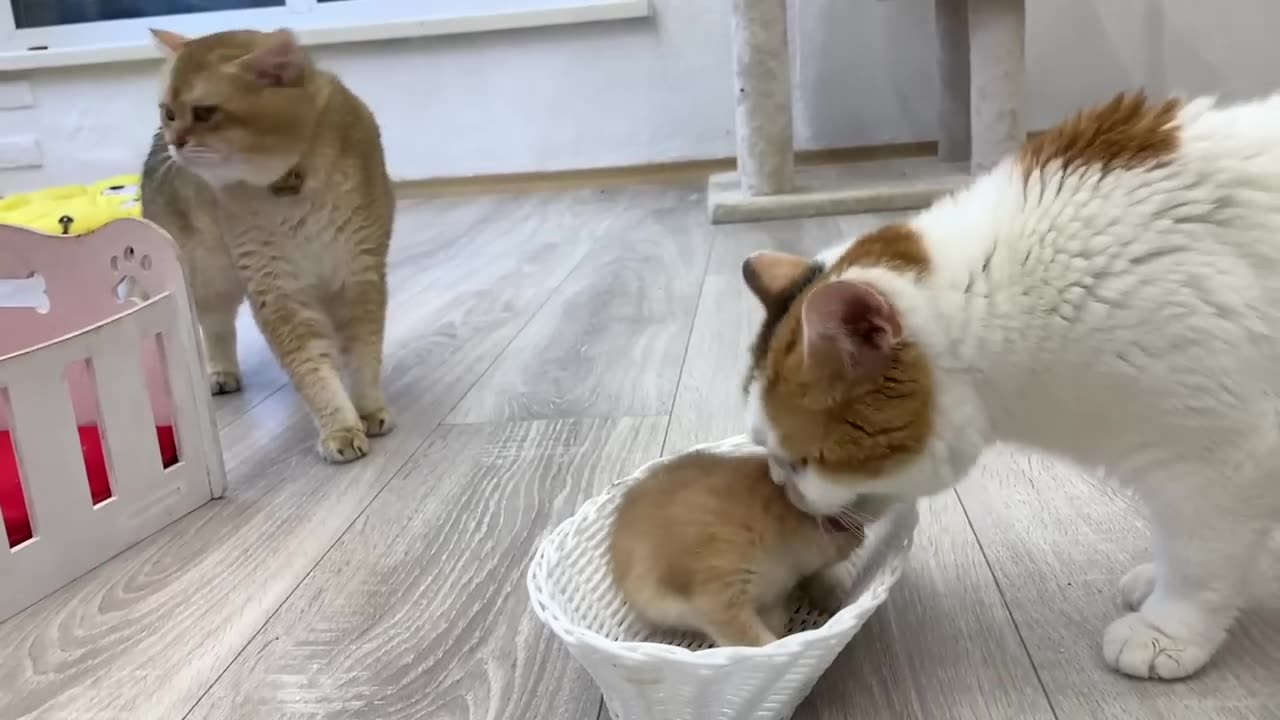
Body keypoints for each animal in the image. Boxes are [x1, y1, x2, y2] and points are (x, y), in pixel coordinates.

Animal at [742, 90, 1280, 676]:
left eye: (801, 460)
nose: (782, 487)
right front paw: (1156, 581)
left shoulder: (1222, 459)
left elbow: (1197, 559)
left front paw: (1166, 629)